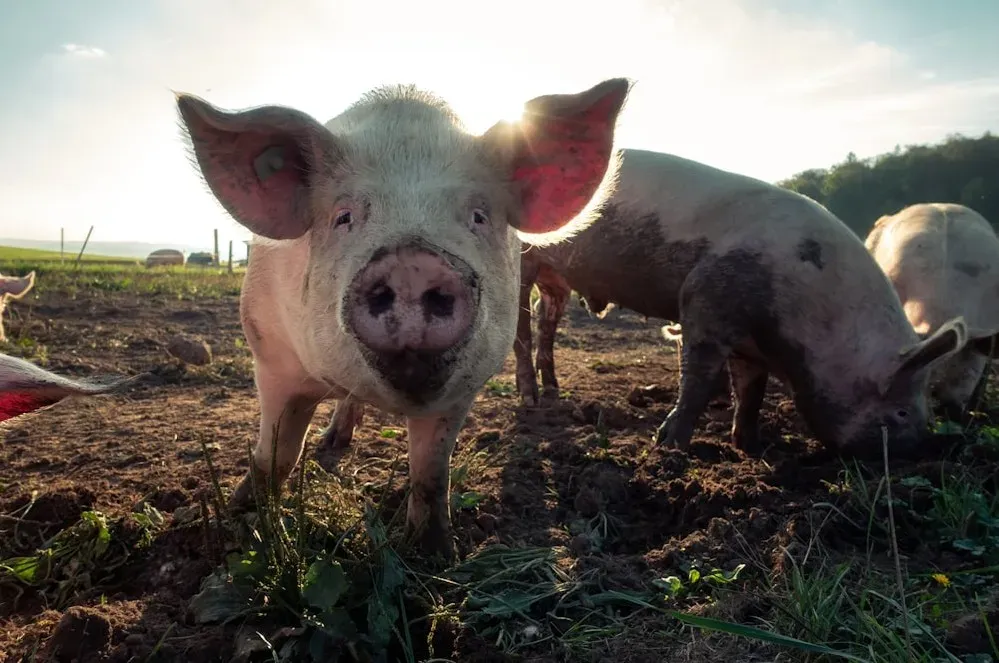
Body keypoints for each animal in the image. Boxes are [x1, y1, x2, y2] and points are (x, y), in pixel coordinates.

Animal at [175, 78, 631, 559]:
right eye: (344, 216)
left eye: (478, 216)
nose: (413, 263)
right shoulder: (271, 354)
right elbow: (276, 453)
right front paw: (239, 521)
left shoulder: (463, 388)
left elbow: (430, 473)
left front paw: (435, 554)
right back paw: (332, 443)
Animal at [507, 148, 972, 458]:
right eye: (900, 412)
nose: (925, 450)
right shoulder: (705, 300)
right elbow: (699, 377)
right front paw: (668, 446)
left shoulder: (751, 344)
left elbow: (751, 390)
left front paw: (751, 446)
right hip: (523, 263)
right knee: (520, 329)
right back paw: (530, 400)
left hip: (557, 281)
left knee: (546, 322)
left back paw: (554, 391)